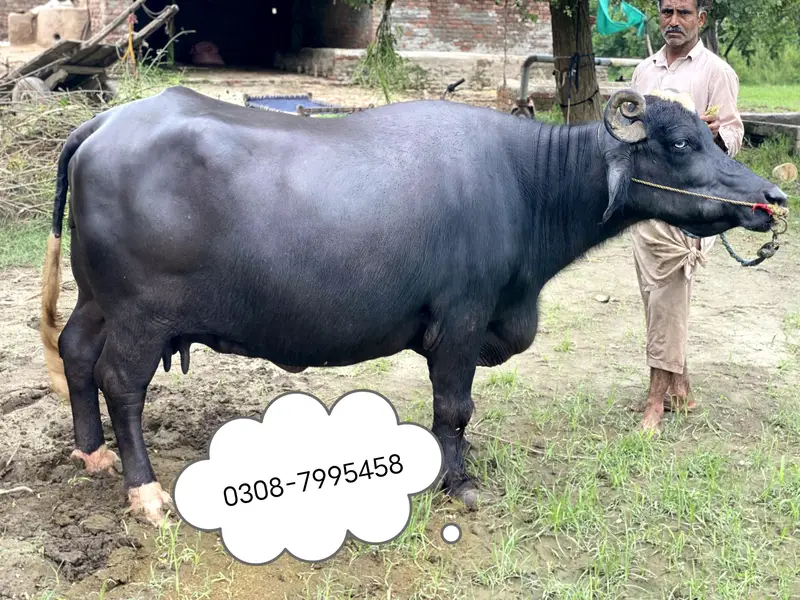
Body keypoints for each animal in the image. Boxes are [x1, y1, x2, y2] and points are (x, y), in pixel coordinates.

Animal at [39, 86, 787, 525]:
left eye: (714, 136)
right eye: (682, 144)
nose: (771, 199)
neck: (525, 184)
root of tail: (105, 123)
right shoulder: (460, 322)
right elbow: (454, 407)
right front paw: (457, 482)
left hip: (96, 300)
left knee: (74, 353)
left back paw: (92, 455)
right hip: (140, 316)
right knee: (120, 383)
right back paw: (144, 491)